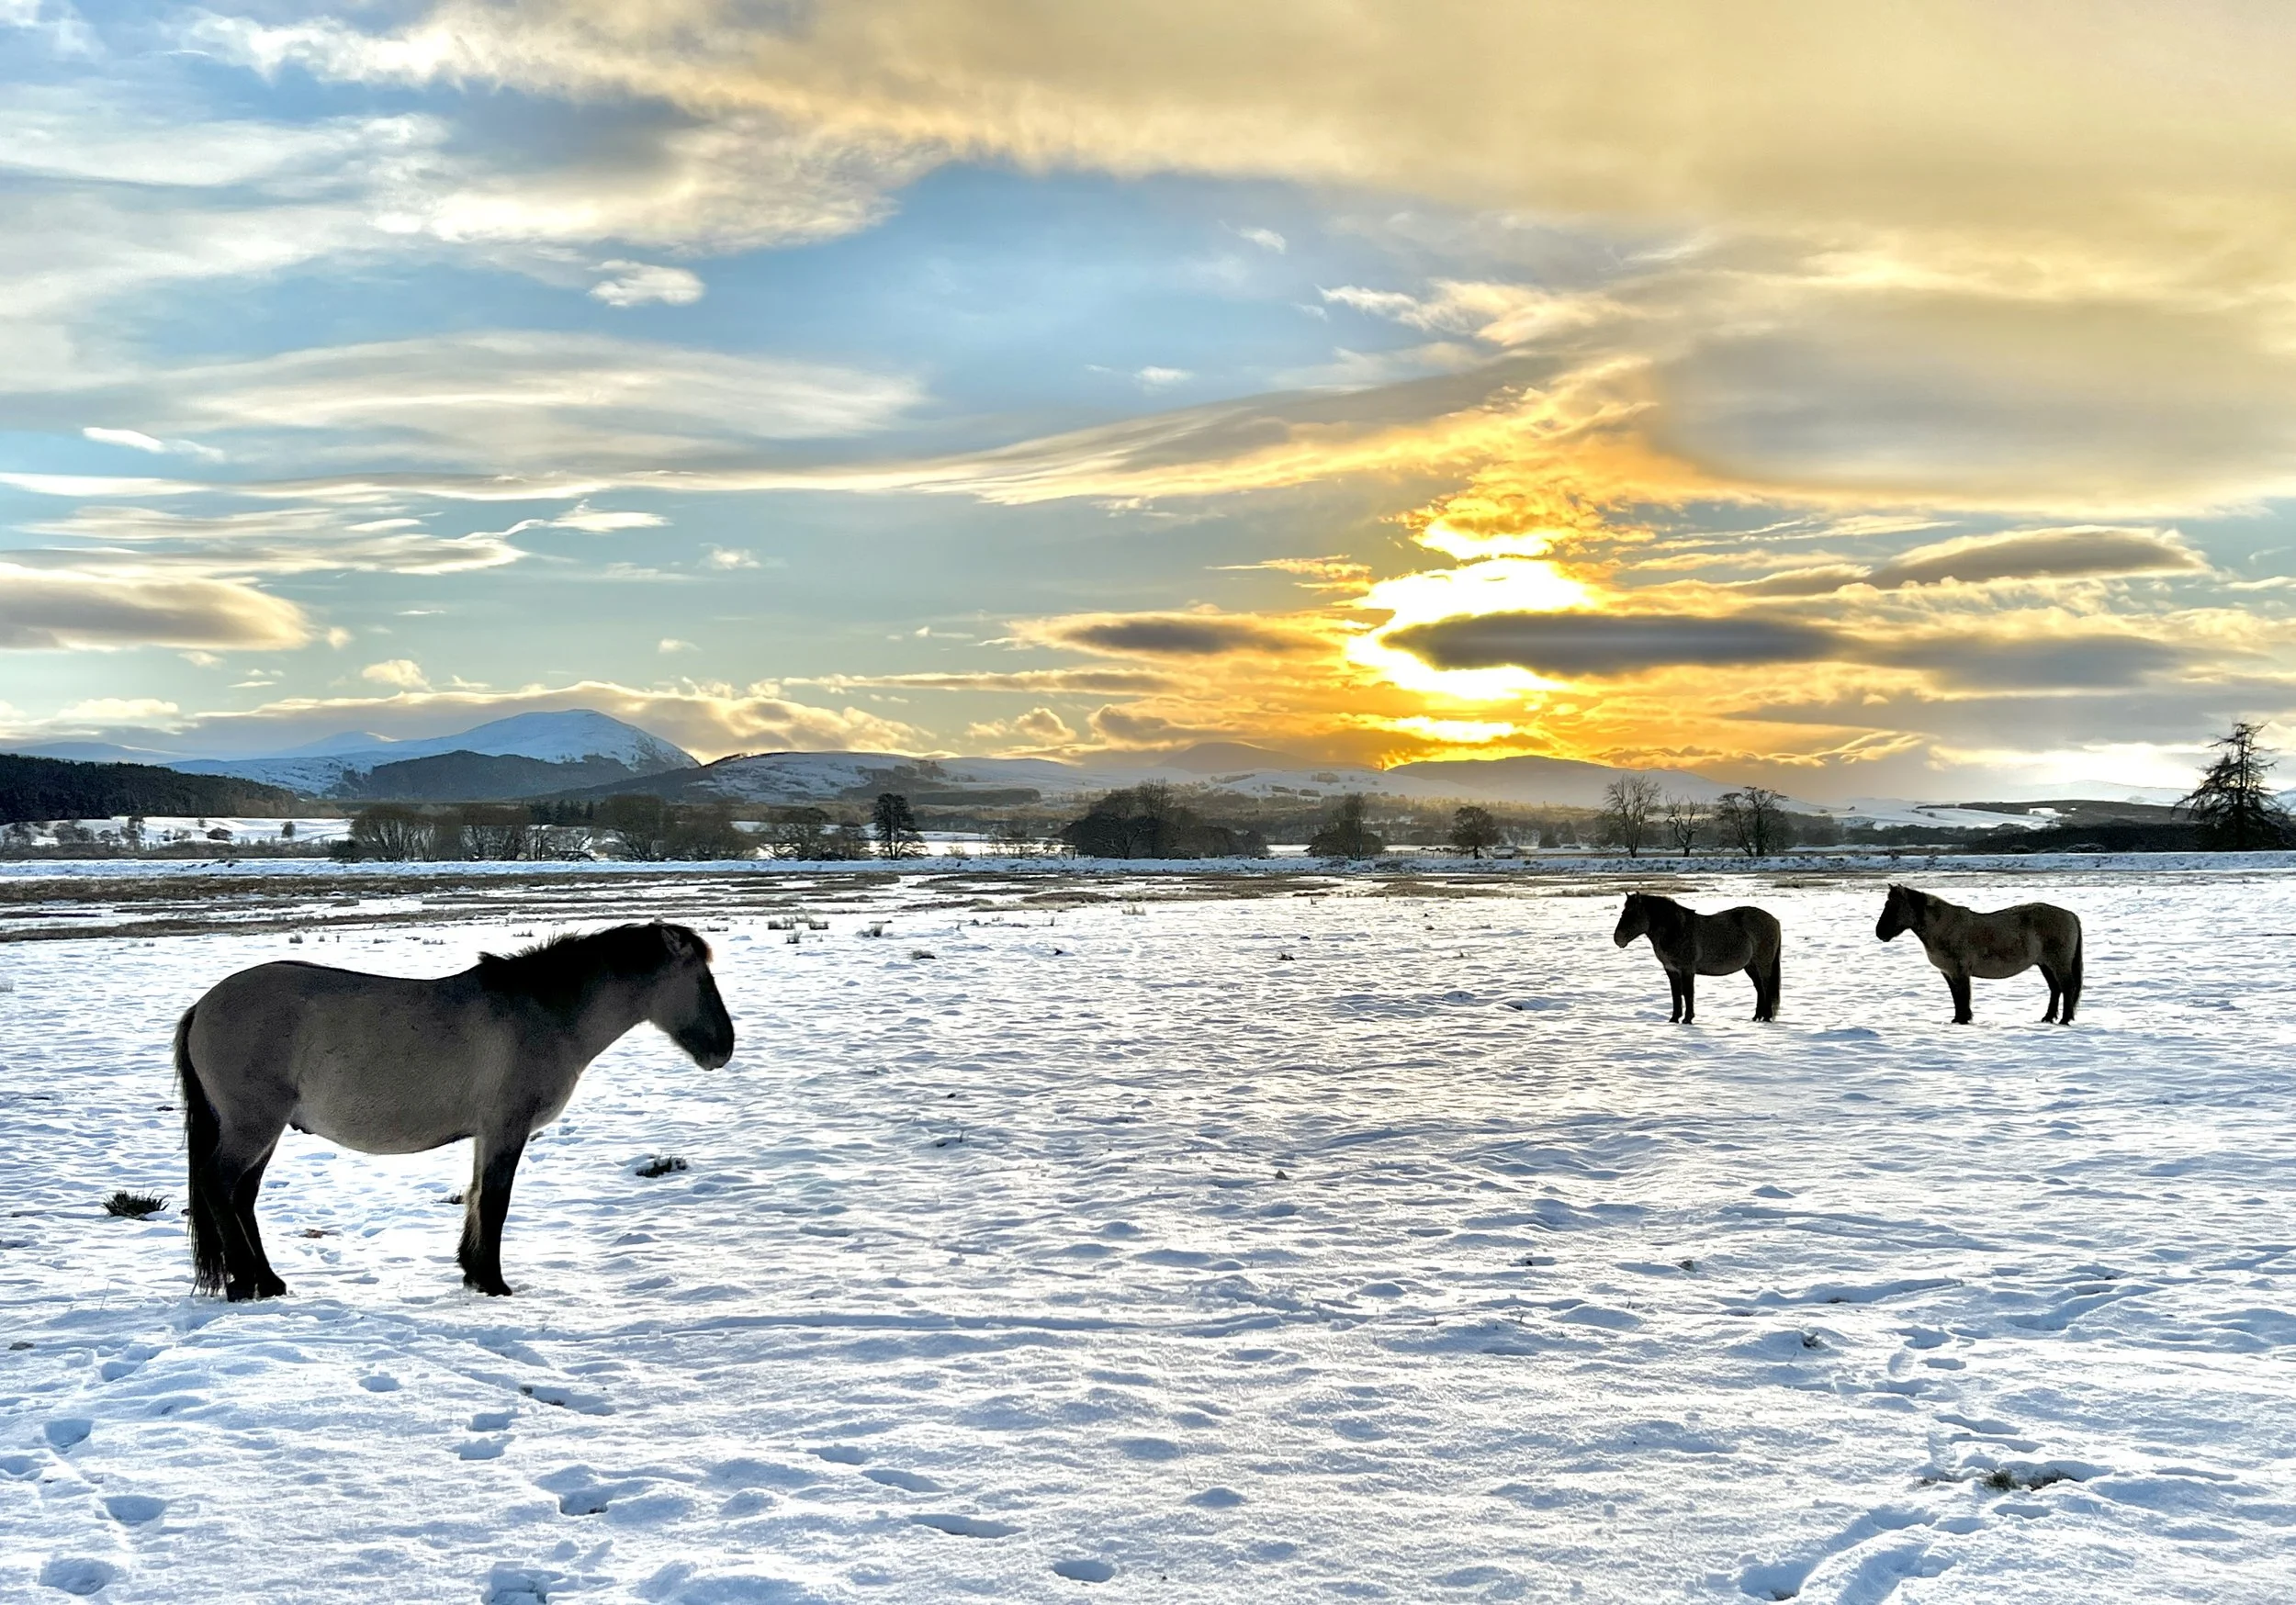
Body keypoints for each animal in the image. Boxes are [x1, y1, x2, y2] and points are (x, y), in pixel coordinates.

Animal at [173, 922, 735, 1302]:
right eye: (701, 978)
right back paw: (246, 1281)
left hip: (264, 1132)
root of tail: (203, 1006)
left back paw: (269, 1280)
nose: (723, 1048)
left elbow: (478, 1195)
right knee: (219, 1185)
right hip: (252, 1126)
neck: (542, 1013)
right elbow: (496, 1202)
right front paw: (493, 1282)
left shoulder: (488, 1134)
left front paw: (472, 1272)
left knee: (242, 1197)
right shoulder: (508, 1129)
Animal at [1612, 892, 1782, 1023]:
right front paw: (1674, 1019)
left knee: (1766, 987)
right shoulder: (1671, 970)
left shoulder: (1687, 970)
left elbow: (1688, 993)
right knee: (1759, 989)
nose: (1617, 939)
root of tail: (1774, 920)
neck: (1678, 929)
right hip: (1751, 966)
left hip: (1763, 965)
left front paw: (1688, 1019)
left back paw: (1767, 1017)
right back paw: (1757, 1017)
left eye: (1632, 913)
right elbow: (1676, 994)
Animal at [1874, 884, 2083, 1025]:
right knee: (2055, 988)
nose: (1880, 933)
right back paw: (2048, 1018)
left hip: (2058, 963)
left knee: (2067, 987)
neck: (1945, 927)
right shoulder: (1948, 973)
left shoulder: (1960, 972)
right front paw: (1958, 1019)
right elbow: (1956, 997)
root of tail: (2070, 914)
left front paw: (1963, 1020)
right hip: (2045, 964)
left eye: (1894, 907)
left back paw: (2064, 1020)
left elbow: (1962, 996)